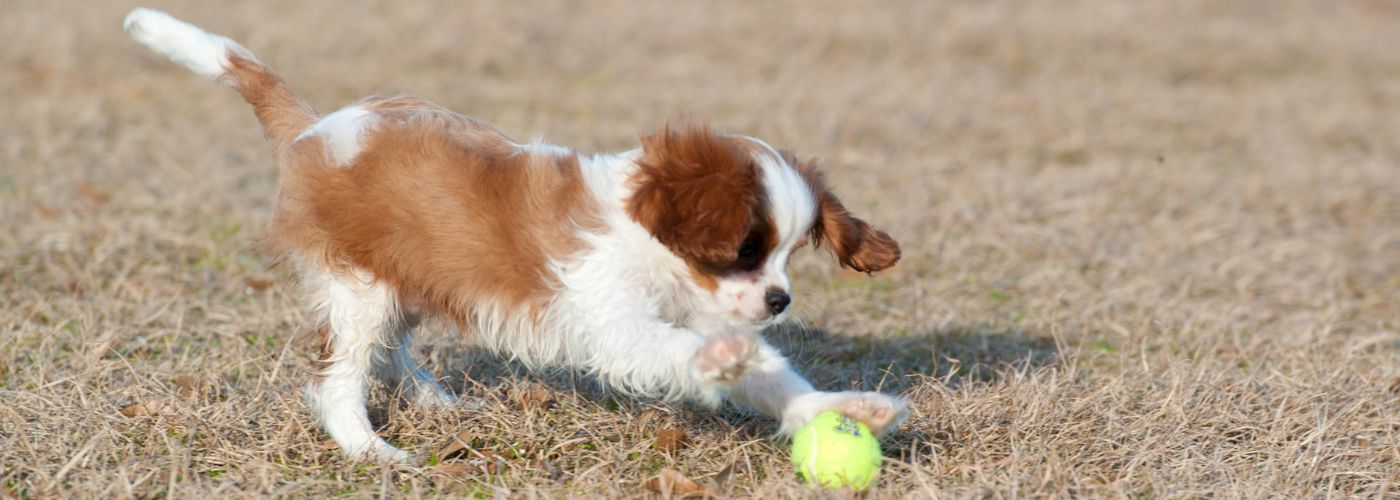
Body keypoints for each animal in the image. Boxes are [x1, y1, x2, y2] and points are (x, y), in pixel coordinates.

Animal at [123, 7, 907, 462]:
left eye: (788, 254)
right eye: (746, 250)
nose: (780, 301)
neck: (654, 250)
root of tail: (315, 128)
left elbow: (773, 375)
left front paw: (840, 409)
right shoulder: (616, 323)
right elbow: (693, 351)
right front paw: (725, 360)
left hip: (404, 277)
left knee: (391, 349)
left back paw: (435, 400)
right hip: (358, 286)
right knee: (341, 375)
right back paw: (370, 449)